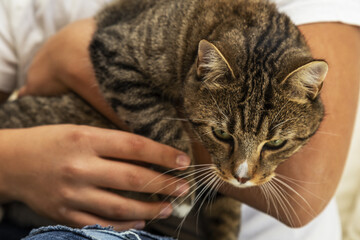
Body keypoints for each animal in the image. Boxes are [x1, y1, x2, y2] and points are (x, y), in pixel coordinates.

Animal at [0, 0, 326, 240]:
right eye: (221, 134)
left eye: (277, 142)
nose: (242, 177)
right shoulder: (116, 52)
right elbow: (158, 121)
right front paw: (182, 191)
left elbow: (227, 211)